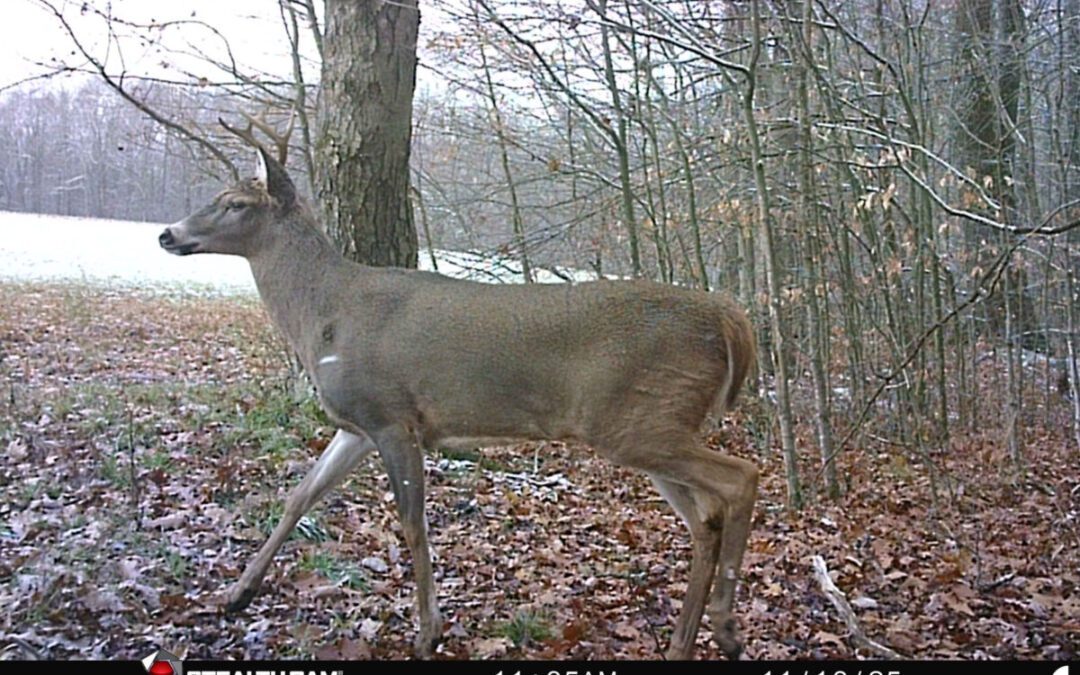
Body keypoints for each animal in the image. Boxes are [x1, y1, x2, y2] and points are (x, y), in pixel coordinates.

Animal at [158, 139, 759, 660]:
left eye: (235, 203)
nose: (167, 234)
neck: (323, 316)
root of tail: (730, 318)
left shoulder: (393, 416)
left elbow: (412, 523)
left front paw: (428, 632)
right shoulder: (357, 424)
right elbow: (299, 497)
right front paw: (236, 594)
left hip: (639, 419)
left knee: (741, 478)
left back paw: (727, 628)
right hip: (648, 424)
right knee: (705, 517)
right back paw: (686, 641)